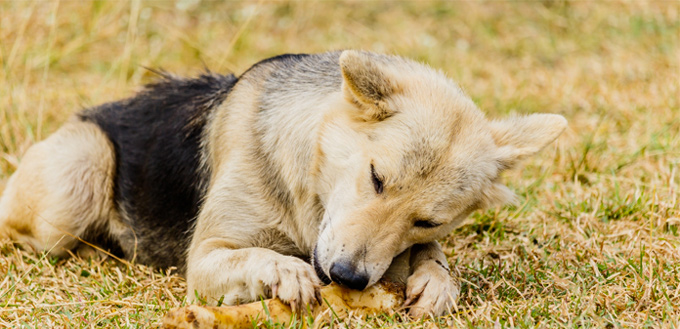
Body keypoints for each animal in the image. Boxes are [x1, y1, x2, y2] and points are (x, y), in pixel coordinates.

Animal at [0, 50, 564, 316]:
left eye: (426, 221)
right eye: (376, 178)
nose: (347, 278)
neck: (306, 189)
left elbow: (433, 259)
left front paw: (436, 281)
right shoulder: (205, 257)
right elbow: (256, 256)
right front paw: (284, 270)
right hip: (78, 180)